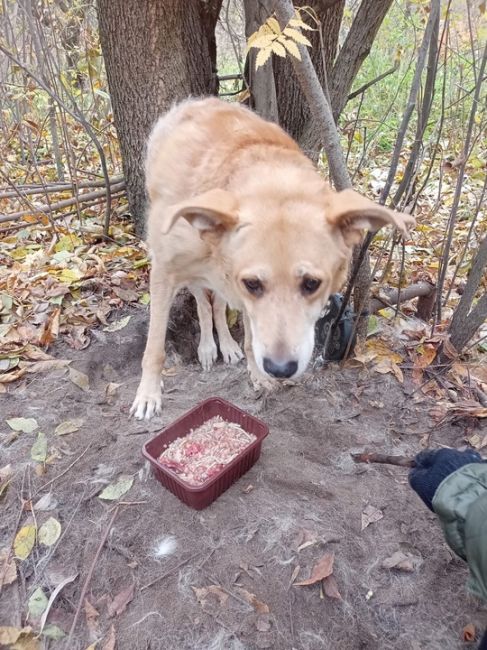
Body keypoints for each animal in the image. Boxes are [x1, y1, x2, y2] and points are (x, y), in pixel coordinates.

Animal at [131, 98, 416, 418]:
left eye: (312, 283)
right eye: (253, 283)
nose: (280, 369)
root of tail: (198, 101)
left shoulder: (239, 291)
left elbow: (250, 338)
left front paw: (255, 372)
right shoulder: (166, 271)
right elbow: (155, 347)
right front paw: (148, 393)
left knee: (217, 304)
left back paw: (226, 344)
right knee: (202, 300)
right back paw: (206, 346)